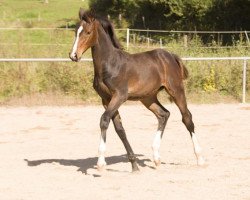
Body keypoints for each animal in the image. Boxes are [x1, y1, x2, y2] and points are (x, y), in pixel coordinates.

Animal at [69, 9, 205, 172]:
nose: (73, 56)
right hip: (148, 98)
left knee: (187, 118)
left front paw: (101, 163)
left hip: (176, 90)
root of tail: (170, 56)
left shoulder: (119, 96)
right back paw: (156, 158)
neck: (110, 64)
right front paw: (134, 165)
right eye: (76, 31)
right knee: (163, 114)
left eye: (88, 32)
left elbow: (104, 120)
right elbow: (119, 128)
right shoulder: (106, 99)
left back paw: (200, 158)